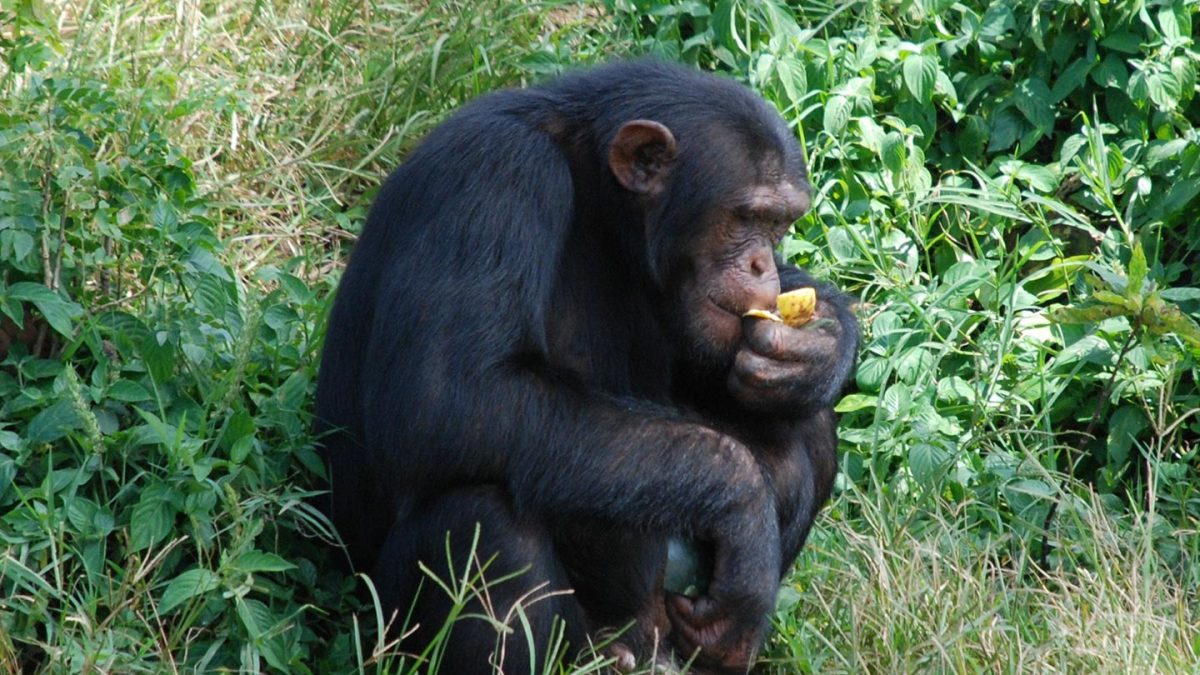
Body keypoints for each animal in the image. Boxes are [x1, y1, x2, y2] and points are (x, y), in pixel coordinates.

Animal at [314, 60, 859, 667]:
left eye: (778, 224)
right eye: (747, 216)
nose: (762, 261)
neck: (601, 200)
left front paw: (818, 349)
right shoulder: (496, 173)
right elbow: (449, 396)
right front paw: (744, 513)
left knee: (807, 428)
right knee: (486, 522)